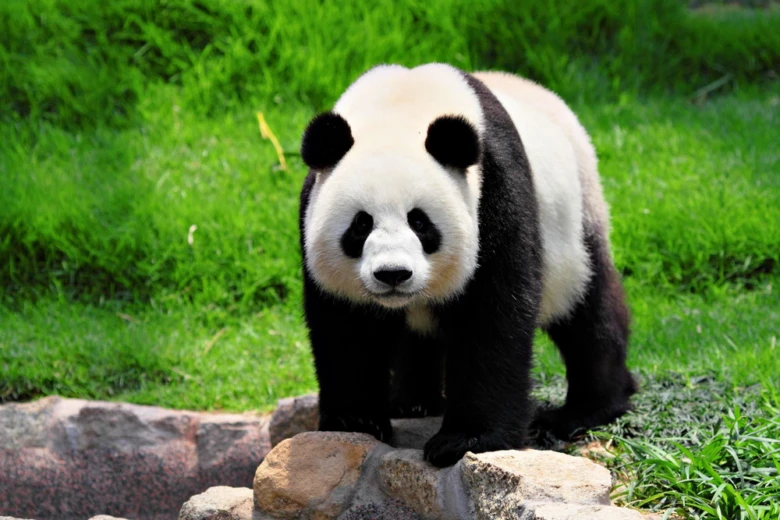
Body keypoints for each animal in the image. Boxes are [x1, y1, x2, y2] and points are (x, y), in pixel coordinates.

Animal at [298, 63, 637, 467]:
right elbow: (348, 327)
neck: (401, 108)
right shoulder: (311, 212)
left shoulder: (495, 191)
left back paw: (585, 411)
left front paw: (465, 440)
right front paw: (356, 421)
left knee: (588, 310)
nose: (393, 274)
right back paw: (413, 402)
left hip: (575, 222)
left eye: (420, 222)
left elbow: (491, 315)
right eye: (361, 225)